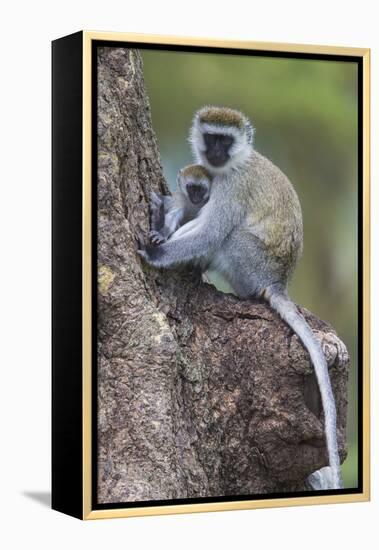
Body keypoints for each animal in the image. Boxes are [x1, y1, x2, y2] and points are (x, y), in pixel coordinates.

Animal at [141, 106, 346, 492]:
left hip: (248, 263)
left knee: (228, 236)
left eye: (226, 140)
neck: (233, 165)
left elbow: (211, 232)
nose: (214, 152)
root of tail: (275, 283)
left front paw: (157, 251)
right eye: (211, 137)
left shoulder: (231, 188)